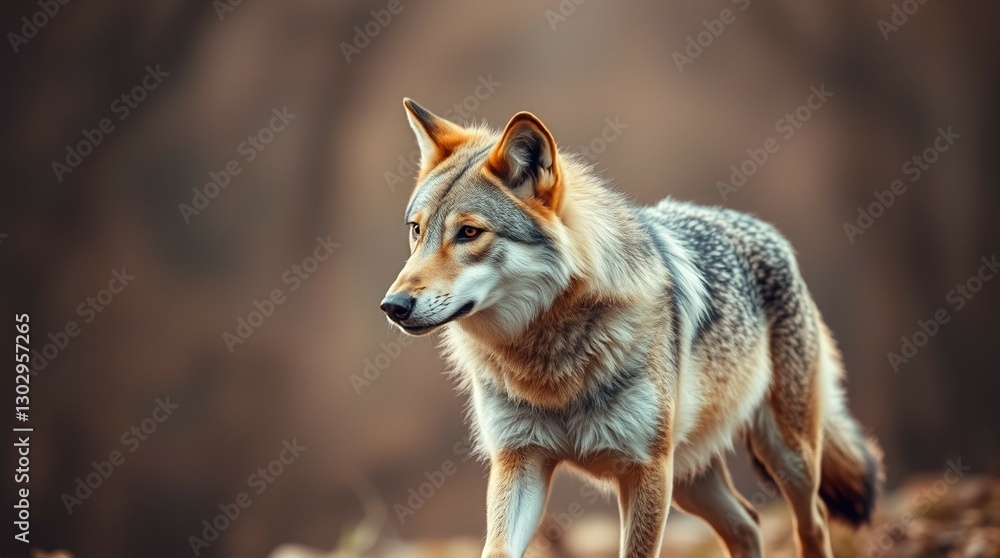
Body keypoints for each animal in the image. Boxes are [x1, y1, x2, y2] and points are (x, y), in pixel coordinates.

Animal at [380, 99, 883, 558]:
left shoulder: (644, 470)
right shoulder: (520, 459)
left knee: (812, 522)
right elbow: (498, 549)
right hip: (690, 478)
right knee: (747, 523)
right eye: (416, 230)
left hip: (784, 457)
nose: (393, 306)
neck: (551, 362)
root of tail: (766, 229)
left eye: (468, 233)